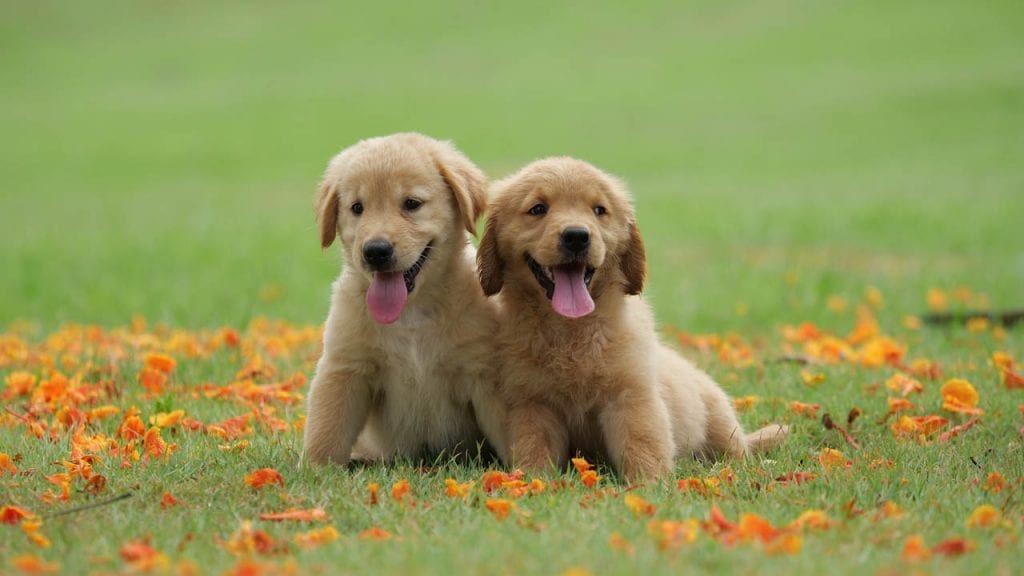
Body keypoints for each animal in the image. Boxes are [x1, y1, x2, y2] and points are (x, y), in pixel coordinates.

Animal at [303, 132, 507, 463]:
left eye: (412, 204)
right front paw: (315, 470)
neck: (411, 314)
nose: (375, 251)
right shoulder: (345, 368)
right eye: (357, 208)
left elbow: (514, 430)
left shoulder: (485, 373)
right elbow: (326, 432)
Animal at [475, 156, 786, 479]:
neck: (571, 329)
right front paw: (531, 479)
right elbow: (533, 447)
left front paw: (651, 484)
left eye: (599, 210)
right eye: (538, 209)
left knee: (737, 451)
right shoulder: (532, 404)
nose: (577, 236)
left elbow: (642, 445)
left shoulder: (632, 396)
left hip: (719, 419)